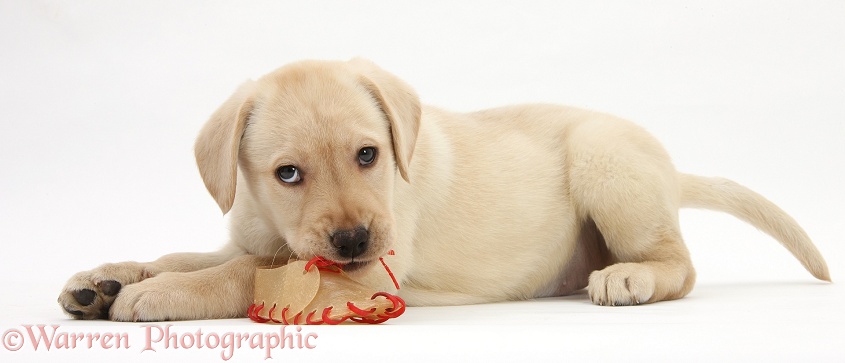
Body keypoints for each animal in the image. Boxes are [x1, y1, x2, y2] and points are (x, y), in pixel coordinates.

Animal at [57, 59, 824, 322]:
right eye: (287, 174)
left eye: (368, 154)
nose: (354, 239)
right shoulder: (254, 232)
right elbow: (194, 254)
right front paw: (105, 278)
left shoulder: (366, 276)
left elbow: (241, 272)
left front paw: (155, 295)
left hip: (604, 160)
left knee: (679, 262)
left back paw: (631, 276)